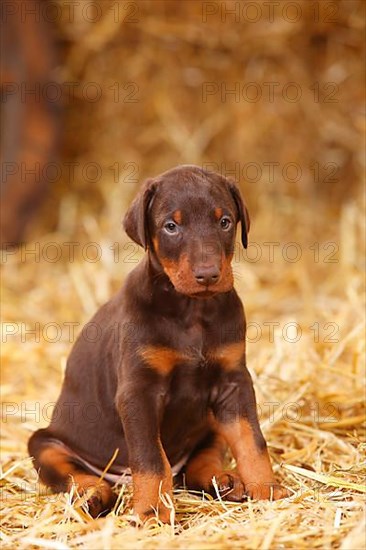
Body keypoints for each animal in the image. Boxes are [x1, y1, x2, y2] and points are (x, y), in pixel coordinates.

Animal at [27, 166, 288, 524]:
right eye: (171, 226)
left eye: (224, 221)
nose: (208, 274)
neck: (192, 311)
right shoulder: (138, 393)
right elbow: (150, 458)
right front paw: (152, 510)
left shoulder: (234, 382)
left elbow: (252, 440)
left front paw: (268, 489)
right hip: (46, 443)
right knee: (74, 473)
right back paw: (92, 496)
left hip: (209, 425)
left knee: (197, 464)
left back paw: (224, 481)